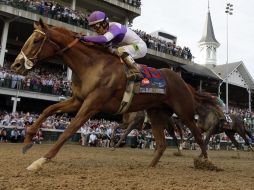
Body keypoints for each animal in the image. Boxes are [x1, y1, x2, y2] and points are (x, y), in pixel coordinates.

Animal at [10, 18, 208, 171]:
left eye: (36, 41)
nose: (16, 65)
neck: (92, 65)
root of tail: (184, 82)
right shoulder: (78, 100)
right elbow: (49, 109)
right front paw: (28, 139)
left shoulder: (92, 104)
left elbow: (69, 130)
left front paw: (40, 161)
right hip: (156, 113)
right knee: (161, 144)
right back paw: (150, 167)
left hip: (184, 112)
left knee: (198, 135)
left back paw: (205, 162)